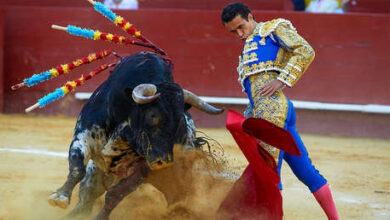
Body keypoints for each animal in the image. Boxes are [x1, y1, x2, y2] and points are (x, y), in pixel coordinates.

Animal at [46, 52, 222, 220]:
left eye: (180, 121)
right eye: (153, 115)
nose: (164, 161)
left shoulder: (142, 167)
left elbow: (115, 195)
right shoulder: (84, 135)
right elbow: (77, 168)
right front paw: (60, 197)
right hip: (96, 174)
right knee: (86, 198)